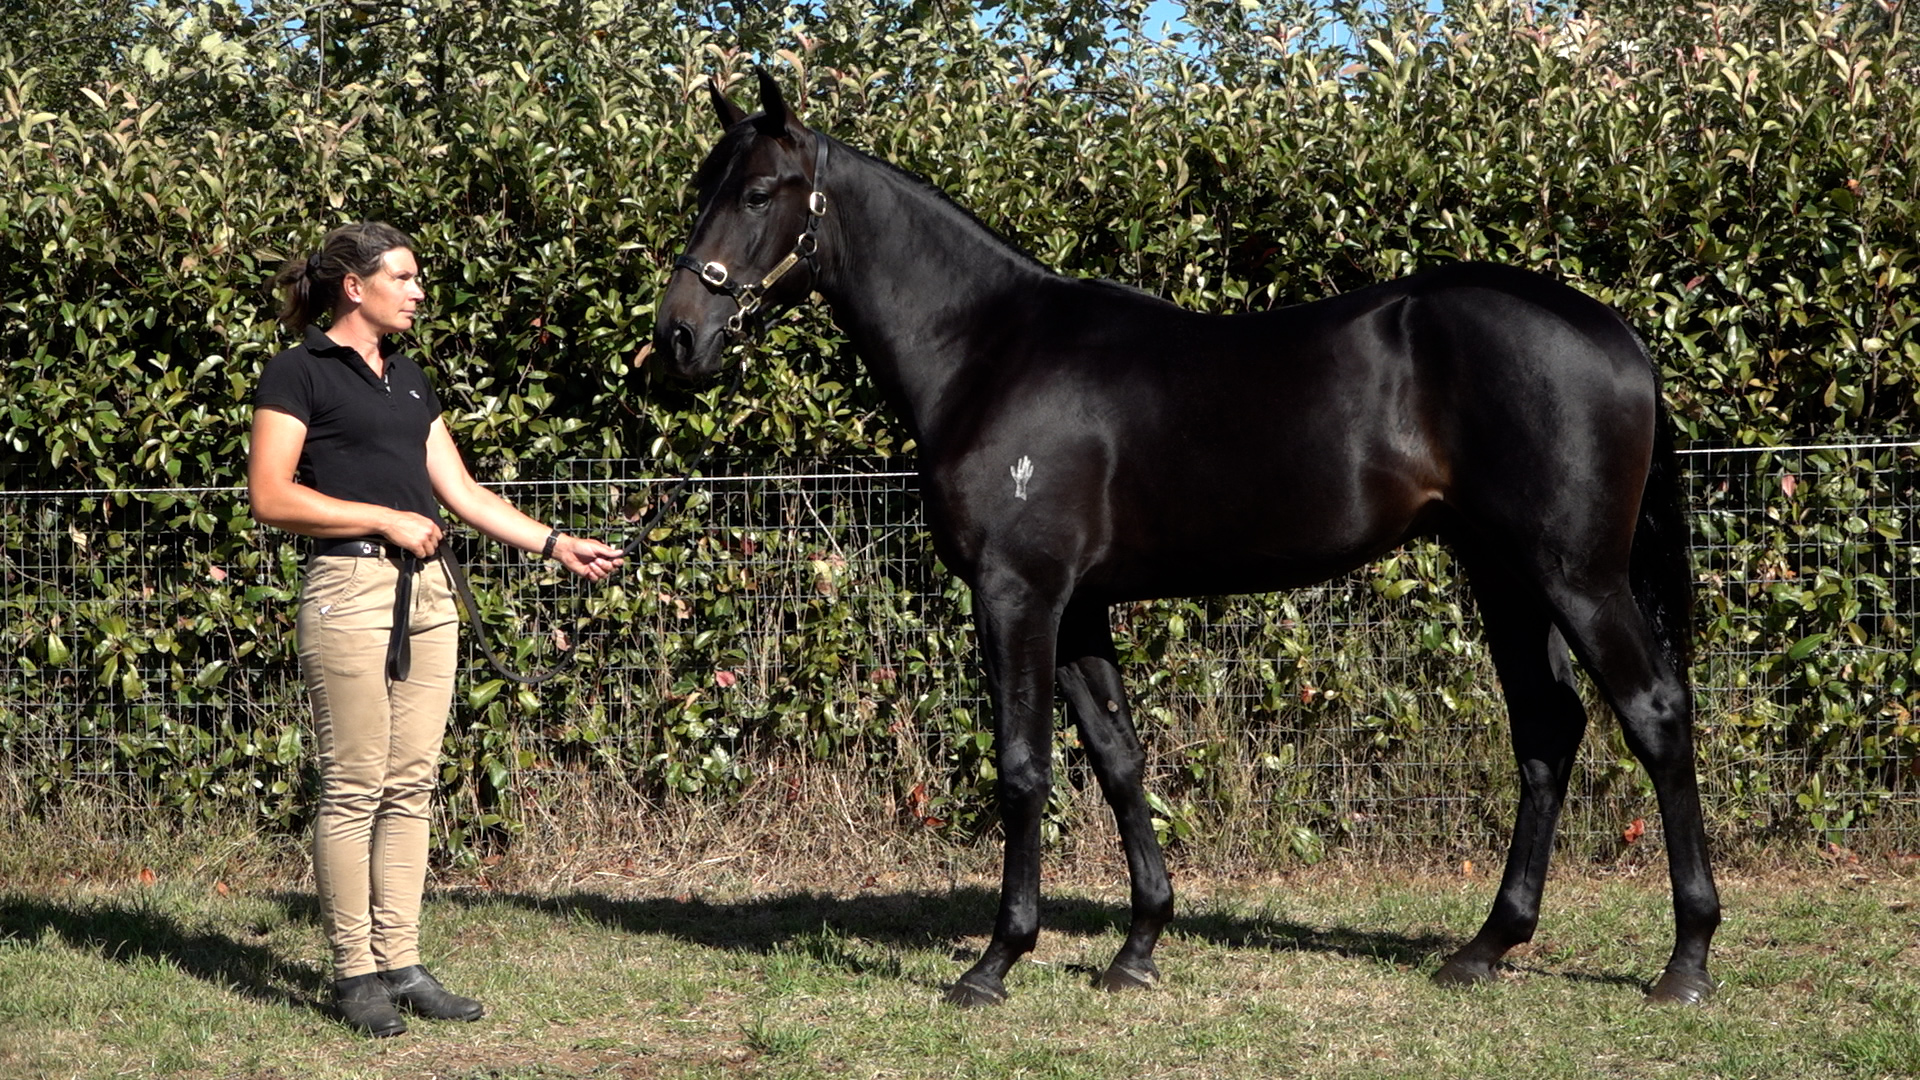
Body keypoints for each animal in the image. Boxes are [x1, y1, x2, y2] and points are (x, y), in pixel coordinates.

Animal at [653, 71, 1719, 1007]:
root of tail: (1615, 330)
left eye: (757, 192)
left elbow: (1023, 768)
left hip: (1577, 576)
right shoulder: (1079, 605)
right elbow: (1119, 761)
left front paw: (995, 963)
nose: (677, 341)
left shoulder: (1016, 593)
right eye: (701, 187)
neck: (988, 351)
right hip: (1505, 576)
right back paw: (1488, 946)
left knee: (1656, 715)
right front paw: (1137, 949)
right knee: (1547, 729)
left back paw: (1687, 962)